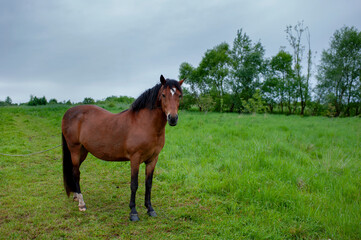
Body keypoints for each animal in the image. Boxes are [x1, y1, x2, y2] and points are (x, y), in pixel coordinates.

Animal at [61, 75, 183, 221]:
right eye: (164, 95)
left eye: (179, 95)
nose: (173, 118)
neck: (144, 123)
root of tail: (69, 112)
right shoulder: (135, 158)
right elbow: (134, 184)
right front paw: (133, 212)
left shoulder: (153, 159)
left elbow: (148, 184)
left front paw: (150, 209)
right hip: (74, 149)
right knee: (76, 173)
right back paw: (81, 203)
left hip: (83, 151)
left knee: (74, 171)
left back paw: (75, 196)